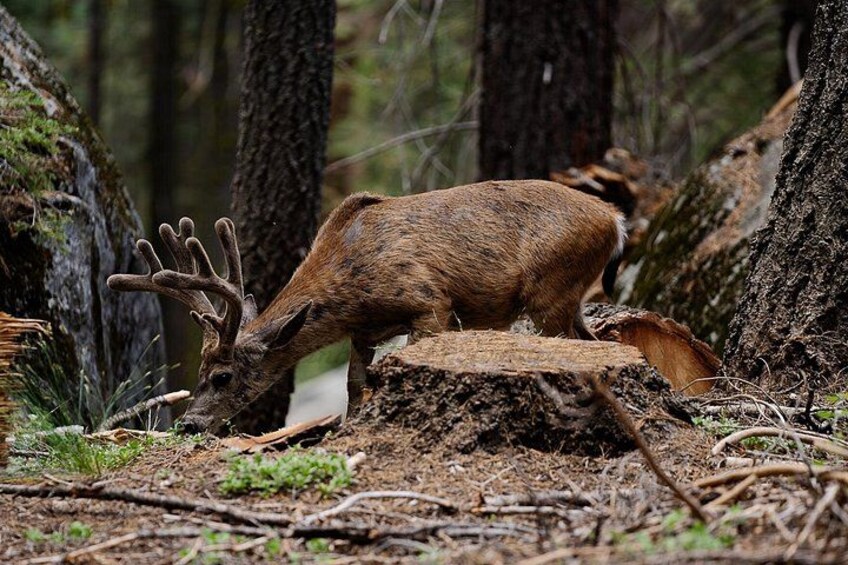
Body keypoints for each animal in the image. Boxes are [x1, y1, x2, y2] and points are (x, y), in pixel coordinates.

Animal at [108, 180, 626, 434]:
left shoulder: (430, 301)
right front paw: (349, 428)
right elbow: (355, 385)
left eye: (222, 376)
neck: (351, 283)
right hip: (568, 299)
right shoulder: (363, 331)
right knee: (602, 341)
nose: (190, 423)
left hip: (551, 289)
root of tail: (615, 218)